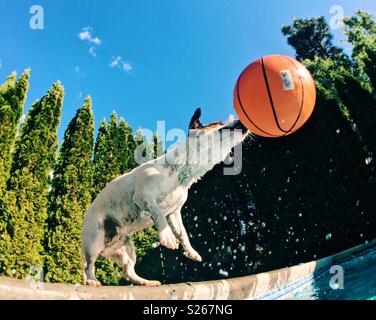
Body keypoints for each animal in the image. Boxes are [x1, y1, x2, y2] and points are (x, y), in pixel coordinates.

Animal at [81, 109, 248, 286]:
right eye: (221, 126)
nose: (243, 124)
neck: (182, 173)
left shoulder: (174, 213)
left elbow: (183, 233)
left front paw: (191, 251)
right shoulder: (144, 197)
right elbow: (159, 215)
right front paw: (167, 238)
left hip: (126, 248)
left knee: (128, 272)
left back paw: (146, 282)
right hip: (94, 241)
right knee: (88, 265)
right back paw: (92, 281)